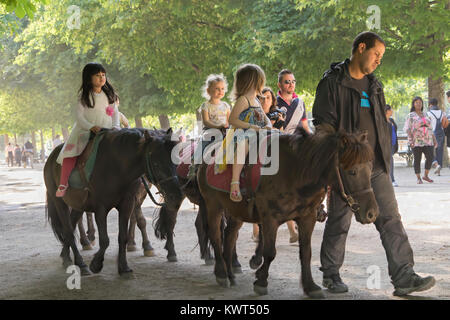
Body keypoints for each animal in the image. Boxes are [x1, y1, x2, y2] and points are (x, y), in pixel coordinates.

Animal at [197, 126, 376, 298]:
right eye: (352, 171)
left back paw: (230, 274)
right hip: (213, 205)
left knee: (229, 237)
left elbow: (306, 252)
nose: (372, 213)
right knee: (215, 236)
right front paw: (261, 281)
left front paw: (310, 286)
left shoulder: (307, 217)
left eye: (370, 169)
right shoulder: (270, 219)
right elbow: (270, 252)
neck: (294, 173)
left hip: (236, 212)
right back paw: (221, 273)